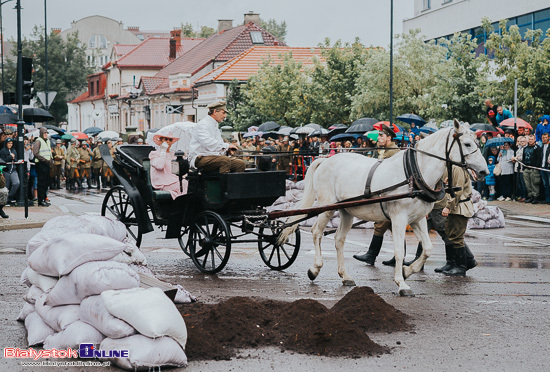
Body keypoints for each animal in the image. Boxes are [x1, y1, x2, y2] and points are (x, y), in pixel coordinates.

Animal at [282, 120, 490, 294]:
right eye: (467, 144)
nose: (484, 171)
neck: (414, 173)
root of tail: (325, 159)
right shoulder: (399, 218)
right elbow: (399, 251)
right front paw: (402, 283)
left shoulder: (418, 219)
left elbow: (428, 248)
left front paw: (408, 271)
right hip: (327, 207)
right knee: (317, 232)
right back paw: (315, 268)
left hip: (347, 211)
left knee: (339, 239)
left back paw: (345, 276)